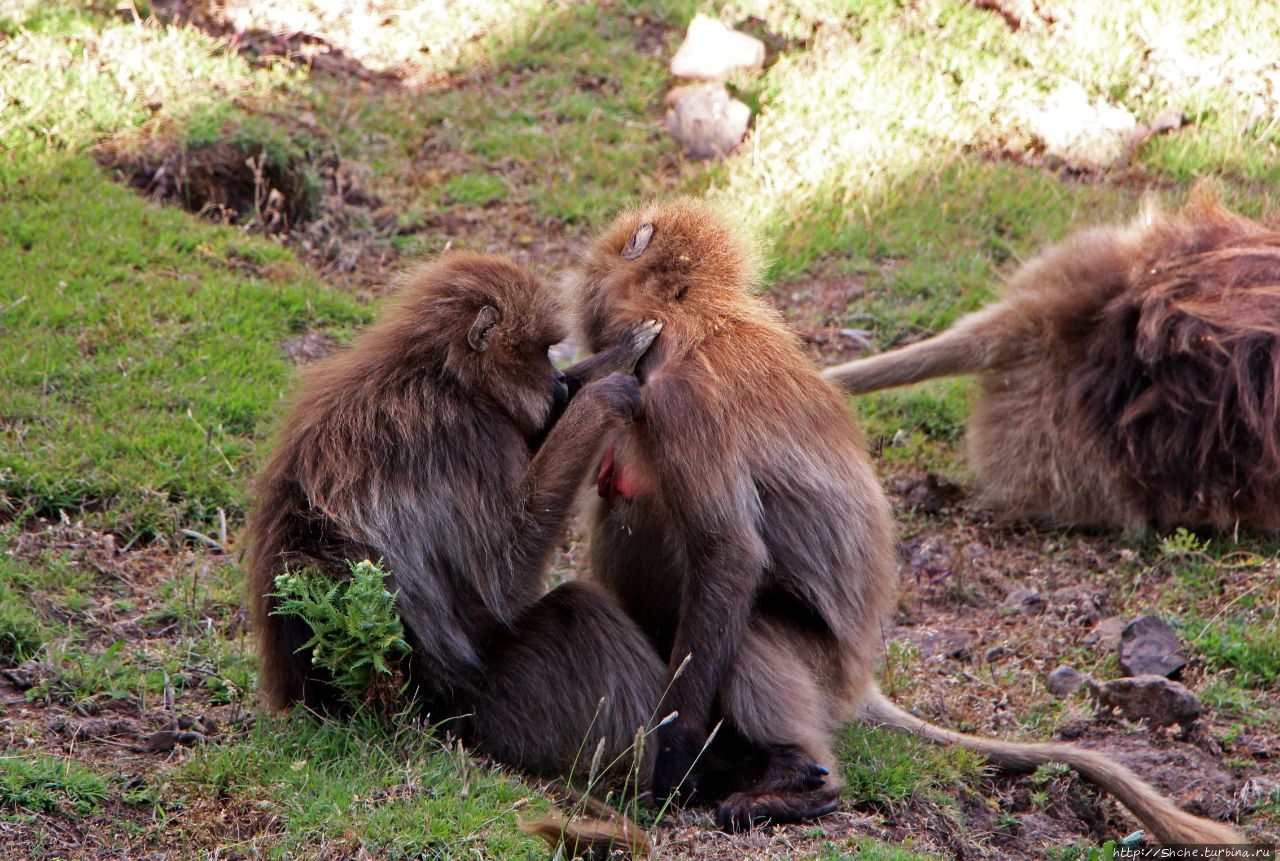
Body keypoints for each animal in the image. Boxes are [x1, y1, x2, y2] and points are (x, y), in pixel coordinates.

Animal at [241, 252, 670, 782]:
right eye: (542, 352)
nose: (558, 382)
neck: (442, 375)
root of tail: (328, 699)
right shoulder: (471, 441)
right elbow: (503, 579)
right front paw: (598, 401)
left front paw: (620, 353)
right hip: (480, 706)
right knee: (582, 614)